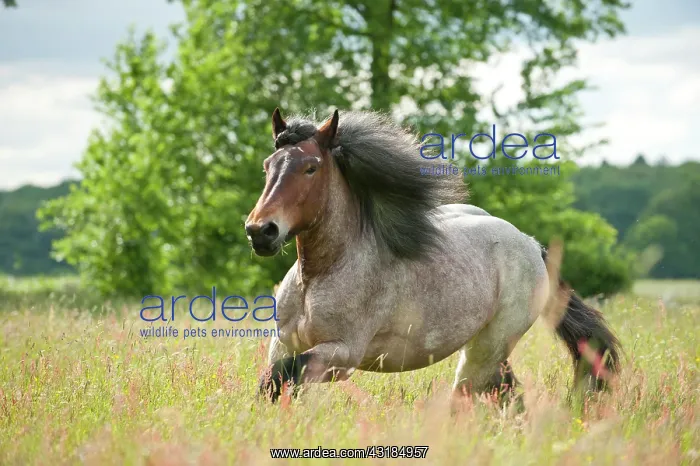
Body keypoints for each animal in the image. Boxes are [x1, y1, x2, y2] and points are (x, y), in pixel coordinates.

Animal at [245, 108, 621, 402]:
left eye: (311, 167)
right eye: (268, 166)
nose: (260, 231)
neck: (321, 274)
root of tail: (531, 245)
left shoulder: (342, 354)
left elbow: (280, 378)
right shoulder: (285, 344)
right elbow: (274, 382)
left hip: (488, 349)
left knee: (472, 395)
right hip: (487, 350)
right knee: (507, 393)